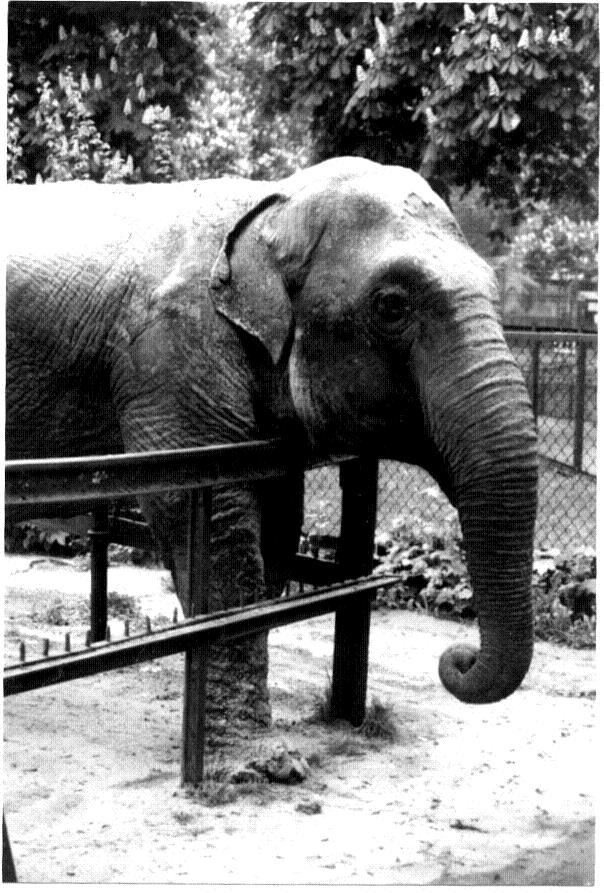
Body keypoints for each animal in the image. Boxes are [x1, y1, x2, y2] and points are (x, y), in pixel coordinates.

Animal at [6, 157, 538, 730]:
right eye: (392, 307)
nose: (456, 658)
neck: (270, 204)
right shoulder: (168, 352)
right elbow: (210, 513)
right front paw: (246, 744)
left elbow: (277, 519)